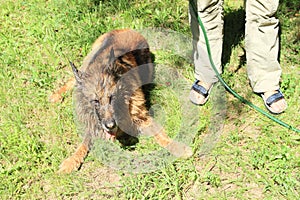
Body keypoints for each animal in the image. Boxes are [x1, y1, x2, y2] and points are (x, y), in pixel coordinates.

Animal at [50, 28, 192, 173]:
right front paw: (72, 160)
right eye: (95, 101)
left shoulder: (143, 118)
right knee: (73, 79)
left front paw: (178, 148)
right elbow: (85, 141)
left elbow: (161, 136)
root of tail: (128, 29)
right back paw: (57, 95)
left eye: (112, 97)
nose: (110, 125)